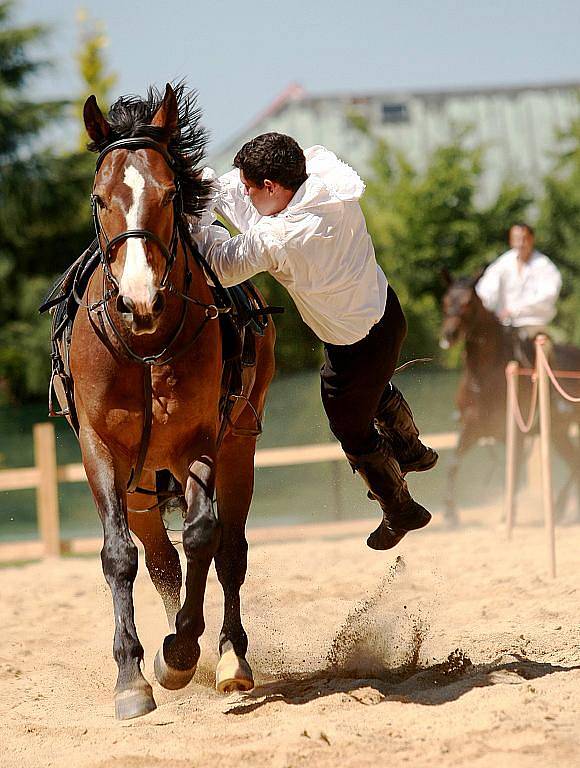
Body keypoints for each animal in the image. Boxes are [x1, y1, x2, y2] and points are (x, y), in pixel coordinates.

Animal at [49, 85, 276, 720]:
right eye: (99, 198)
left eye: (170, 194)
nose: (139, 298)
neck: (147, 345)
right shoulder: (100, 450)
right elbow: (119, 556)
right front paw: (131, 678)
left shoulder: (202, 442)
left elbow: (203, 536)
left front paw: (178, 653)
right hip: (143, 484)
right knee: (157, 559)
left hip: (238, 447)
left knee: (229, 549)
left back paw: (227, 657)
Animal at [440, 268, 580, 524]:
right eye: (446, 301)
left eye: (468, 303)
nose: (449, 335)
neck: (485, 376)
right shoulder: (472, 427)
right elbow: (453, 462)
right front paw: (450, 513)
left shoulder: (515, 433)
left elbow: (512, 472)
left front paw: (508, 515)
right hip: (558, 432)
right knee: (574, 461)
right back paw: (560, 509)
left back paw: (559, 507)